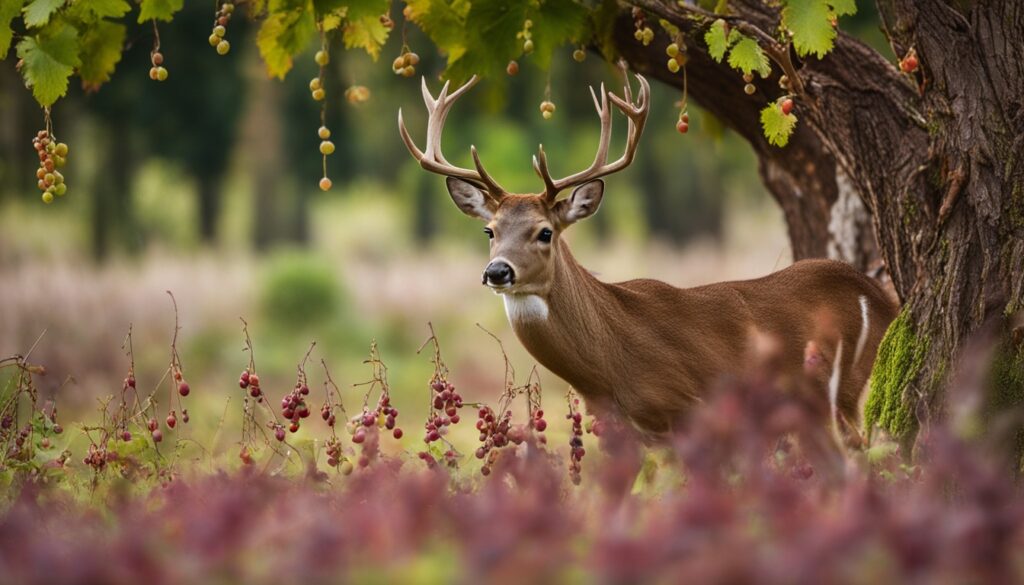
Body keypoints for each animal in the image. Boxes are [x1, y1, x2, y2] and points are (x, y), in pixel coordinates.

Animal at [397, 75, 897, 446]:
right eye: (490, 231)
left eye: (544, 232)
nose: (497, 271)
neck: (611, 368)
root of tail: (882, 297)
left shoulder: (690, 411)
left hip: (847, 391)